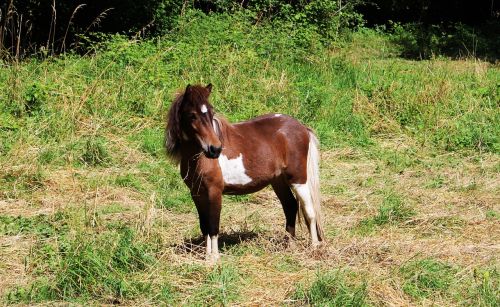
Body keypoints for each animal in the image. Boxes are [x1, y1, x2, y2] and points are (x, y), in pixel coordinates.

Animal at [166, 84, 326, 262]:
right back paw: (289, 245)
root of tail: (301, 127)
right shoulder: (197, 193)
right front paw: (207, 256)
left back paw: (315, 246)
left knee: (309, 211)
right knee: (290, 206)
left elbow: (213, 226)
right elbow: (205, 226)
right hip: (278, 181)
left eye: (211, 113)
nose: (215, 149)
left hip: (298, 179)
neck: (200, 158)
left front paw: (215, 258)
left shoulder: (214, 192)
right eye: (192, 115)